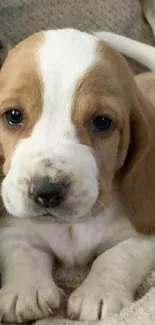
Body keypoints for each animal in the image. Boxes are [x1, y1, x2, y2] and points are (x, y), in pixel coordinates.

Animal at [0, 28, 155, 322]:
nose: (47, 192)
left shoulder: (145, 234)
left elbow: (117, 256)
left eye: (102, 122)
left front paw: (99, 294)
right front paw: (25, 291)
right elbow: (22, 252)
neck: (71, 226)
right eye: (13, 115)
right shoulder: (13, 228)